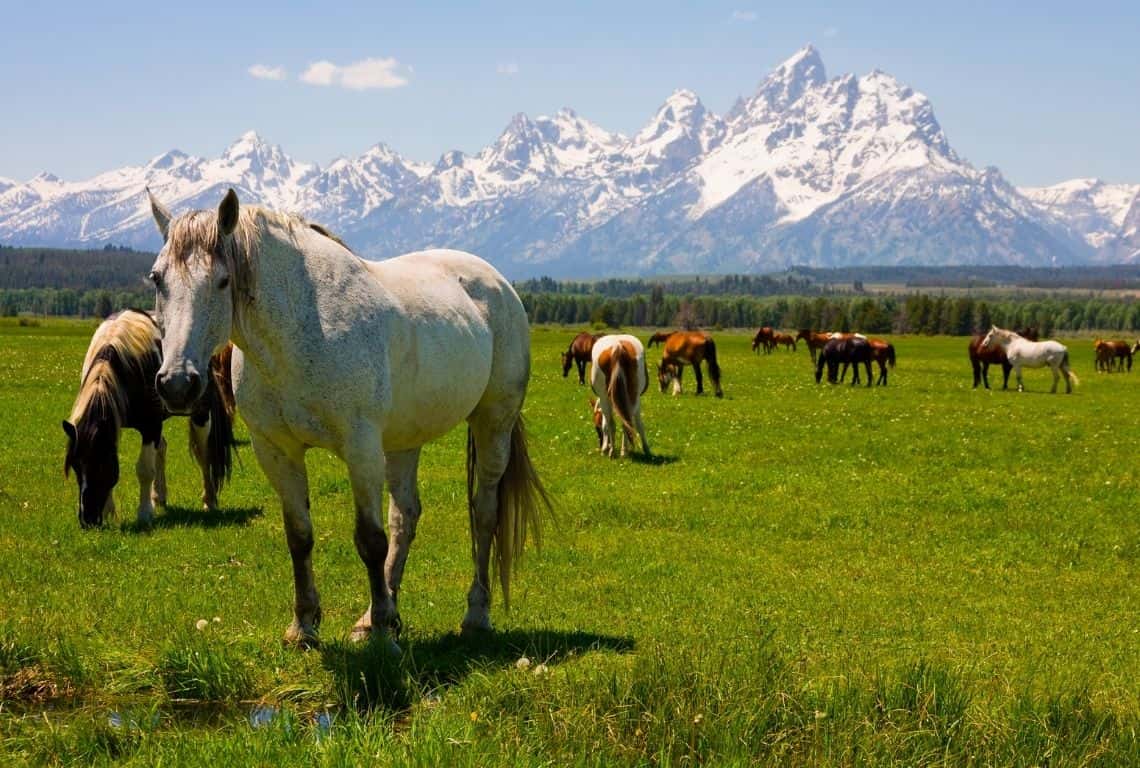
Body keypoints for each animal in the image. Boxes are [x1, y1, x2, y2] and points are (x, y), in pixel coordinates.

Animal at [144, 188, 554, 647]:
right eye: (157, 279)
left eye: (222, 280)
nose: (177, 383)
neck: (300, 331)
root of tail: (499, 284)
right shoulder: (277, 451)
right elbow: (300, 535)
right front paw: (305, 625)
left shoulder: (360, 448)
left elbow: (370, 540)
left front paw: (381, 633)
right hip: (404, 441)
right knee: (405, 516)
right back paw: (378, 613)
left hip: (493, 423)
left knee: (483, 512)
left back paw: (474, 614)